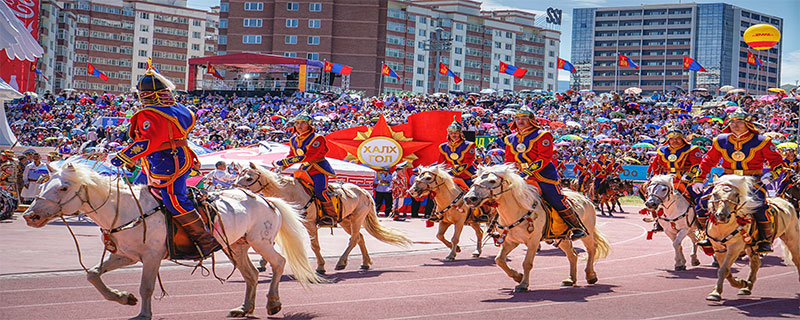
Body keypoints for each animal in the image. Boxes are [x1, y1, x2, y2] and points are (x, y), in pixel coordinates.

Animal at [22, 164, 322, 318]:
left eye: (63, 187)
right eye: (44, 183)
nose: (30, 215)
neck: (128, 209)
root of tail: (266, 200)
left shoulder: (152, 256)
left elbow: (147, 287)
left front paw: (142, 313)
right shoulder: (126, 255)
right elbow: (93, 275)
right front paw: (123, 298)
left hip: (262, 242)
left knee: (279, 263)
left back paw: (273, 303)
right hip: (236, 247)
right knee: (251, 275)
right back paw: (244, 307)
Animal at [233, 164, 410, 274]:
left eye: (249, 178)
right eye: (238, 176)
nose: (235, 191)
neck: (291, 192)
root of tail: (365, 192)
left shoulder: (310, 224)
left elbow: (315, 245)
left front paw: (321, 266)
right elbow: (272, 242)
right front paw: (263, 263)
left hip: (356, 219)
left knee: (354, 239)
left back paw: (341, 262)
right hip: (346, 221)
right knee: (359, 237)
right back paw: (365, 262)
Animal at [462, 165, 612, 292]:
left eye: (492, 181)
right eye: (474, 180)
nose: (469, 198)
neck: (517, 210)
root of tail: (585, 198)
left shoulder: (533, 241)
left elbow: (527, 263)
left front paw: (523, 284)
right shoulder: (511, 241)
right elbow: (499, 260)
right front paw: (518, 276)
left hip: (587, 233)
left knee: (591, 250)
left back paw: (591, 275)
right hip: (562, 238)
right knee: (573, 255)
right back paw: (570, 279)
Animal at [708, 174, 800, 302]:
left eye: (736, 195)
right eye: (714, 194)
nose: (722, 216)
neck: (723, 228)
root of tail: (787, 203)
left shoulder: (734, 248)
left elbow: (723, 270)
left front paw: (716, 293)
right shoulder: (718, 248)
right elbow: (725, 270)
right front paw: (740, 283)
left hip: (792, 240)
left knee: (797, 259)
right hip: (752, 246)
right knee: (755, 263)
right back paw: (747, 287)